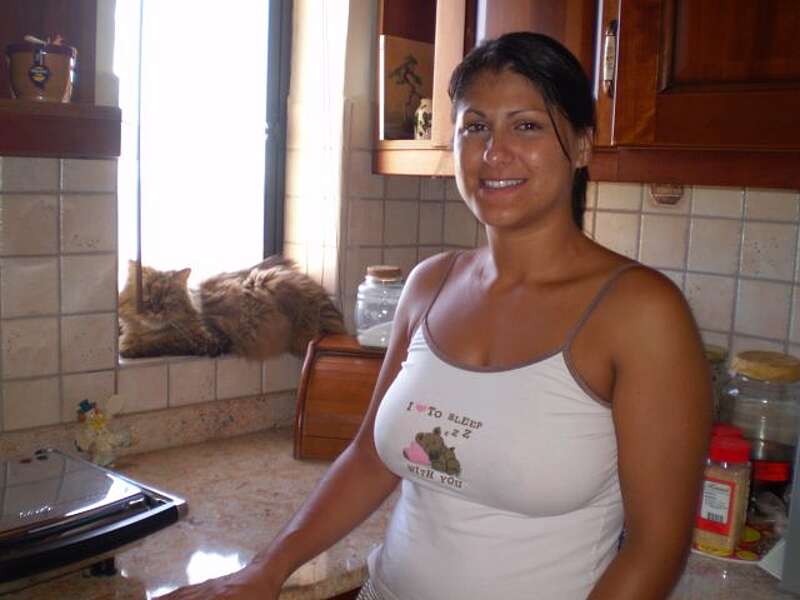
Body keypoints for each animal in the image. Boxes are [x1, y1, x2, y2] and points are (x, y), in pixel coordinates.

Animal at [118, 256, 346, 360]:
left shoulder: (213, 341)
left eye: (168, 296)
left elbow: (165, 342)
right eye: (147, 293)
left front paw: (129, 347)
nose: (155, 308)